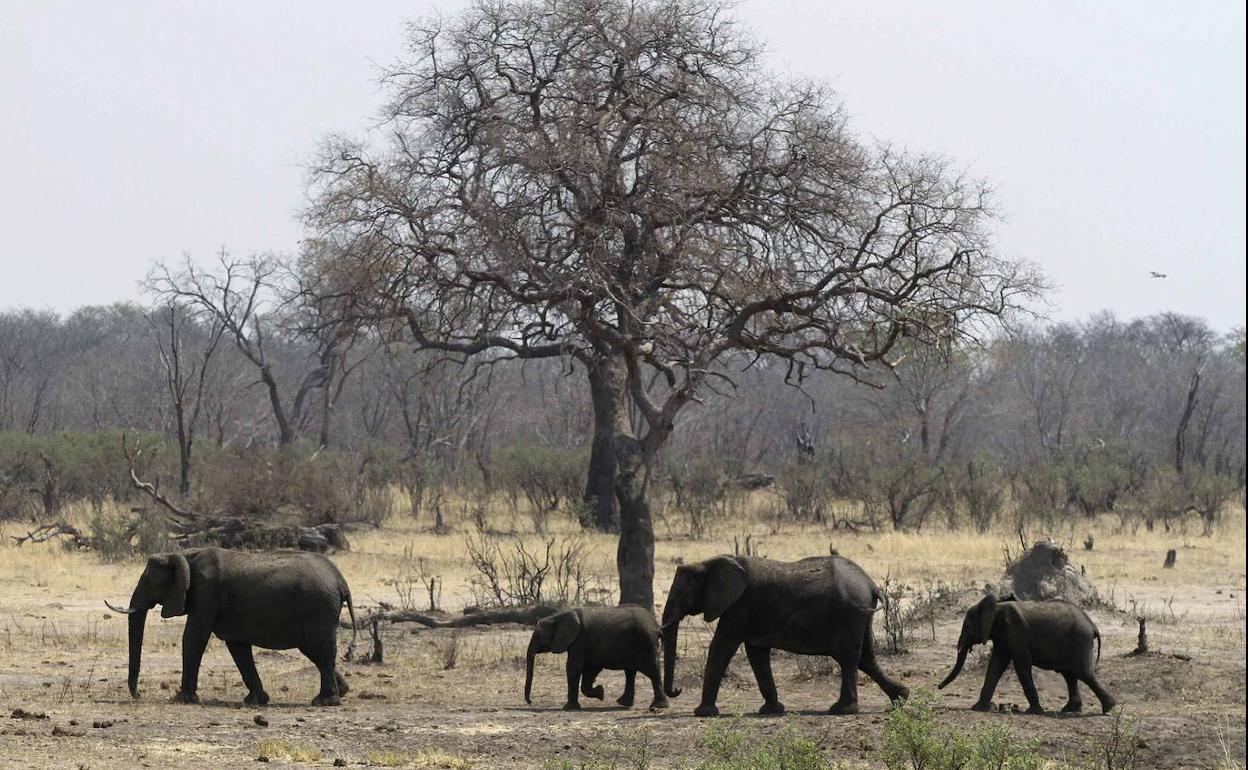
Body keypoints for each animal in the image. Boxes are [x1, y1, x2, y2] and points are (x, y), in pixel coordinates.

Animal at [105, 546, 356, 703]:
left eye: (147, 580)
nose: (139, 695)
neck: (184, 555)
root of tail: (341, 581)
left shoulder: (206, 593)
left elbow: (194, 637)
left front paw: (181, 699)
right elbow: (237, 647)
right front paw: (256, 701)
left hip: (318, 610)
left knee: (320, 651)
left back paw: (324, 701)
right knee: (318, 653)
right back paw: (341, 692)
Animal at [524, 604, 668, 713]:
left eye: (538, 637)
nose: (531, 702)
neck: (557, 617)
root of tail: (656, 625)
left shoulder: (580, 640)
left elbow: (574, 668)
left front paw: (568, 708)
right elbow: (590, 669)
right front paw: (601, 693)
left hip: (646, 642)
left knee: (652, 671)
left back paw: (658, 706)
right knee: (630, 672)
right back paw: (624, 703)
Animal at [658, 551, 913, 713]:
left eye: (682, 591)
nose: (678, 690)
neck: (709, 562)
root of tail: (871, 584)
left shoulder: (740, 605)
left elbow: (722, 647)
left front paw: (703, 713)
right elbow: (756, 653)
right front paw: (771, 710)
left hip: (849, 613)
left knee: (849, 658)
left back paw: (842, 710)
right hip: (860, 615)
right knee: (865, 658)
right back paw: (901, 698)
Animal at [933, 594, 1118, 713]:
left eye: (968, 627)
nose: (938, 687)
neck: (996, 607)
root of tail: (1092, 625)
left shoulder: (1016, 633)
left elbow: (1021, 667)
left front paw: (1034, 711)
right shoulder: (1003, 636)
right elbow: (995, 666)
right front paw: (979, 708)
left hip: (1080, 641)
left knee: (1084, 674)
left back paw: (1109, 708)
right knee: (1070, 675)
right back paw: (1069, 710)